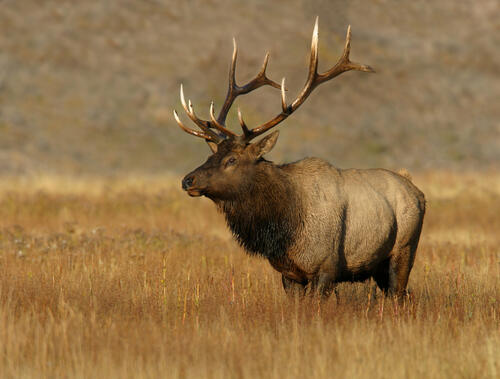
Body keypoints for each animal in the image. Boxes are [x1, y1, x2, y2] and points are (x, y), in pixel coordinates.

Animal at [174, 19, 424, 302]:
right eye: (211, 155)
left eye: (232, 160)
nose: (187, 180)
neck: (284, 227)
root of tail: (417, 191)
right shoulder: (289, 274)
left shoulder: (326, 268)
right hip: (379, 266)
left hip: (404, 250)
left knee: (399, 293)